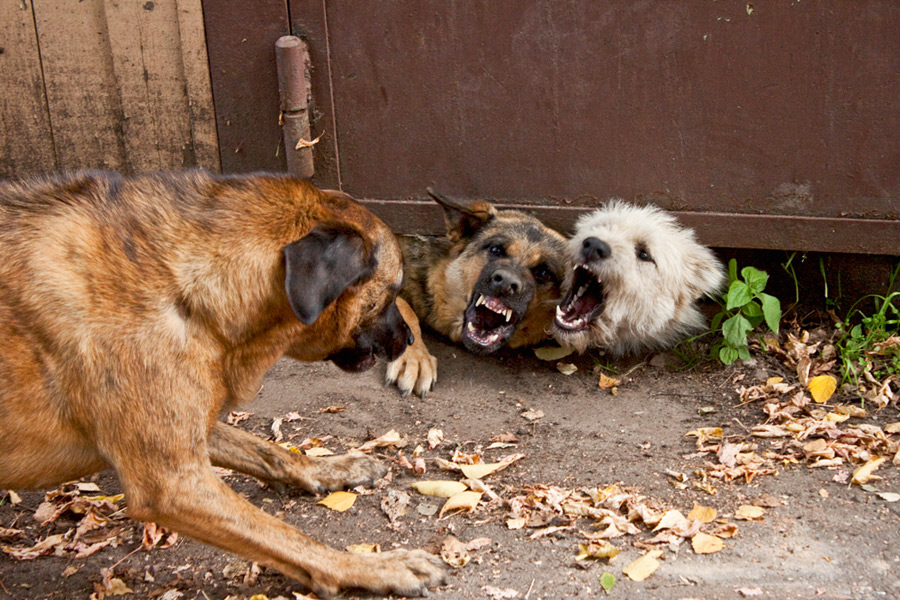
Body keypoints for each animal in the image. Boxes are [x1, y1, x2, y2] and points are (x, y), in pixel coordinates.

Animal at [0, 171, 446, 596]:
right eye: (392, 290)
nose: (410, 338)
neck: (183, 284)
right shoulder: (172, 484)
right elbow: (287, 536)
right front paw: (373, 567)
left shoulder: (192, 422)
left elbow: (270, 452)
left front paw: (332, 467)